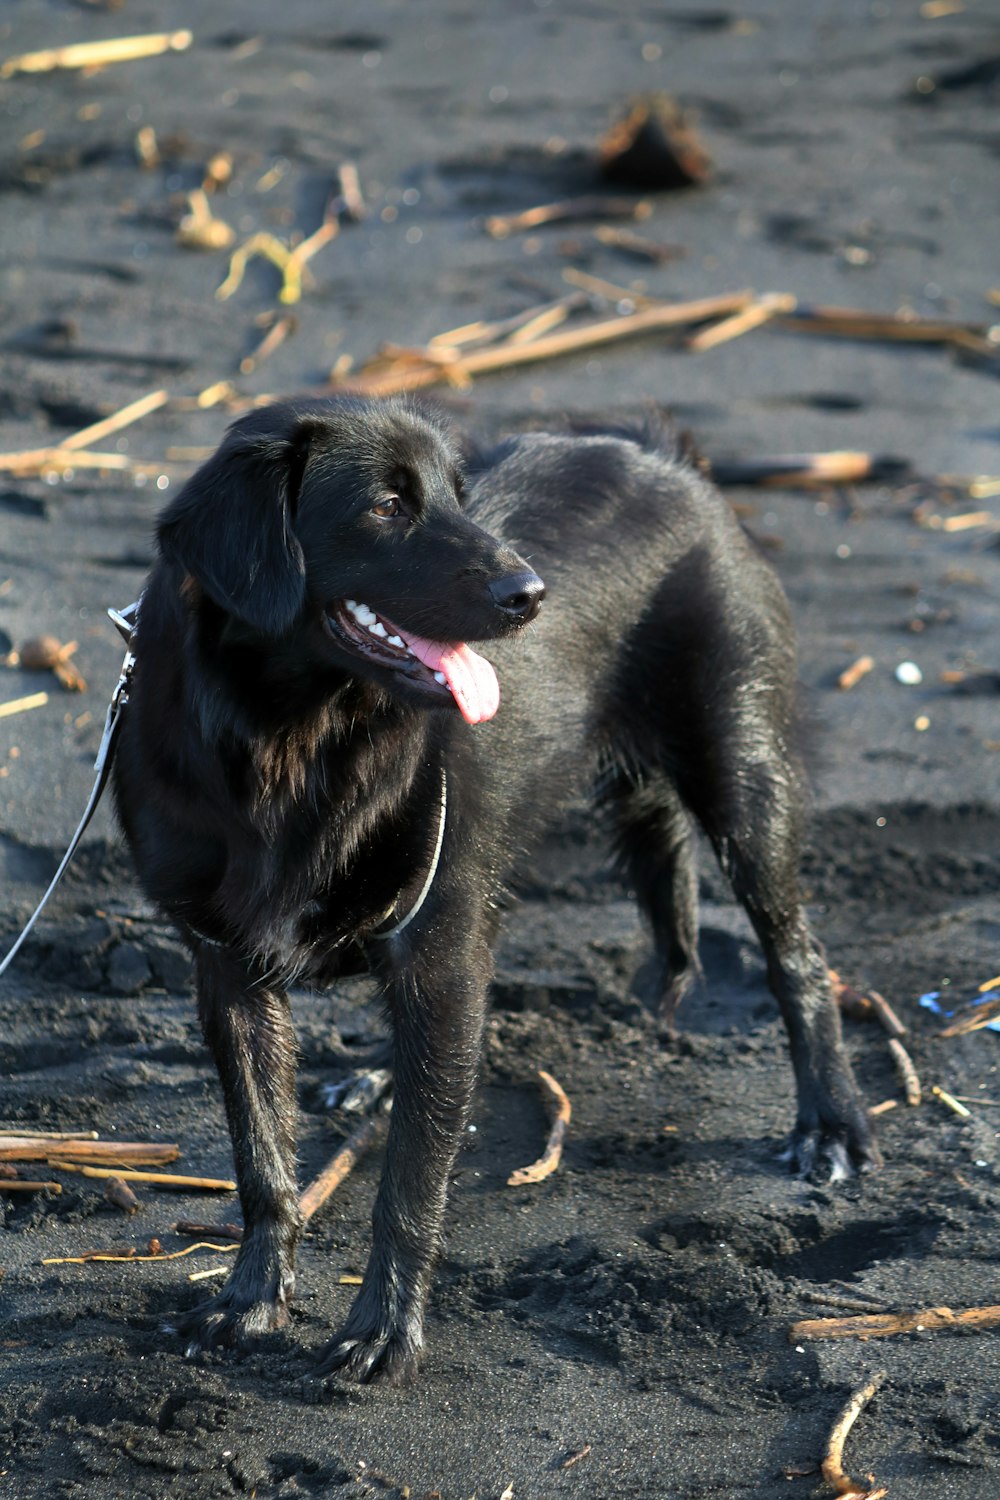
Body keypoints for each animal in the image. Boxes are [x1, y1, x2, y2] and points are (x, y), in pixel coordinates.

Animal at [111, 399, 875, 1380]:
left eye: (457, 497)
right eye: (387, 506)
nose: (530, 594)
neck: (295, 744)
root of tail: (664, 458)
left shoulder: (438, 950)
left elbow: (412, 1179)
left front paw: (383, 1333)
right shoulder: (231, 969)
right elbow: (263, 1160)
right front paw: (251, 1303)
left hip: (742, 776)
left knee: (798, 955)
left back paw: (832, 1124)